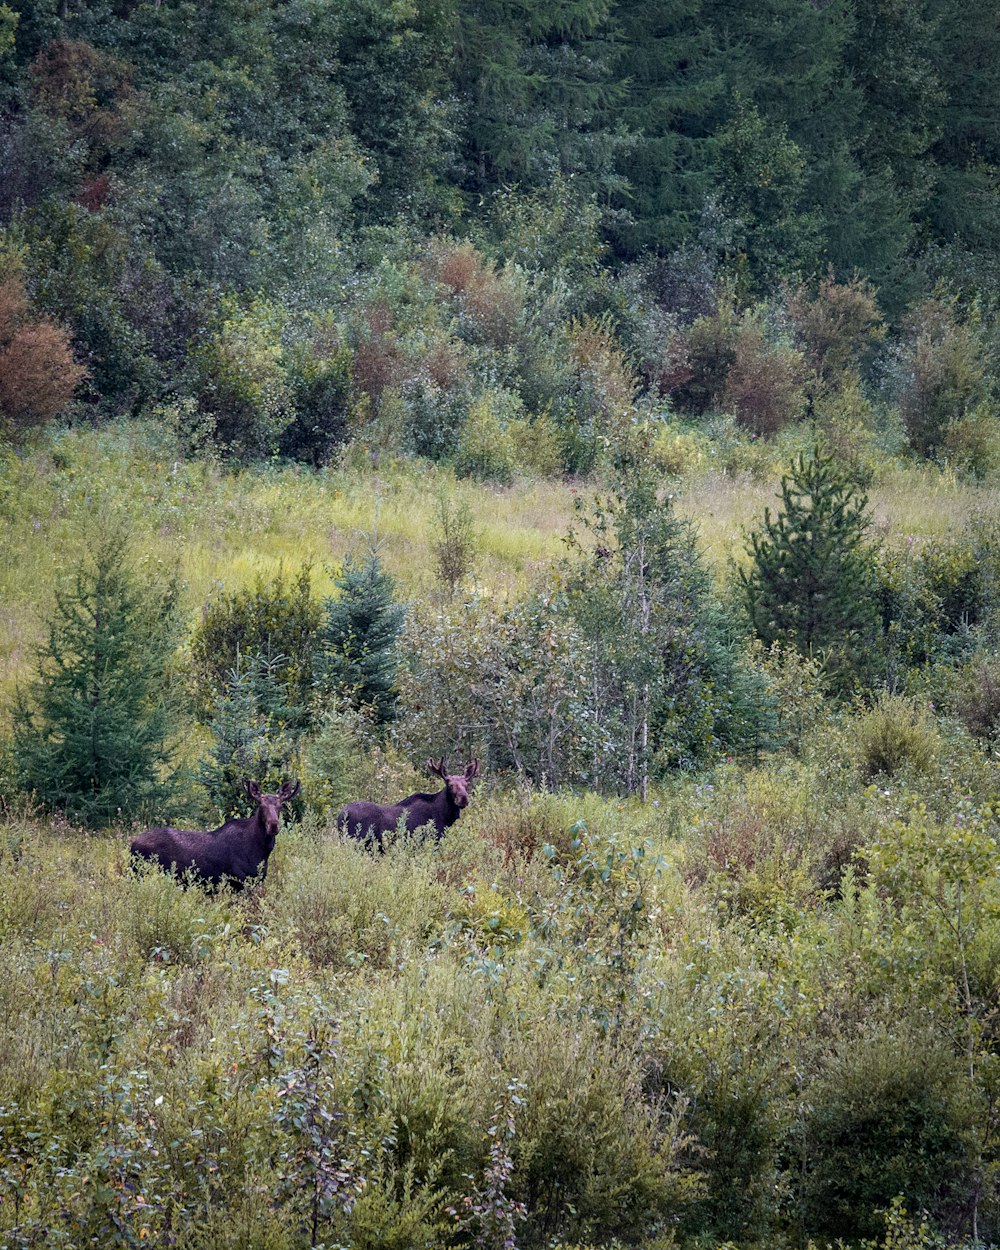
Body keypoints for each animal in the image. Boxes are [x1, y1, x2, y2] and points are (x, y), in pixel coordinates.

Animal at [130, 780, 301, 890]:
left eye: (280, 806)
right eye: (261, 806)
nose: (273, 825)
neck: (261, 852)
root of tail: (132, 844)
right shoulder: (239, 881)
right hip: (139, 874)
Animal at [337, 750, 482, 850]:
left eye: (466, 785)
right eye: (450, 785)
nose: (463, 799)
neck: (445, 816)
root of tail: (341, 815)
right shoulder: (430, 840)